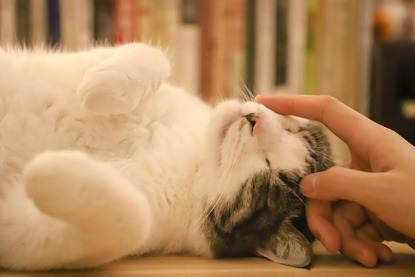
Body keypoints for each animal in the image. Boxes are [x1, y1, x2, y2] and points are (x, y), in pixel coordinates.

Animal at [0, 43, 334, 270]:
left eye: (271, 174)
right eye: (292, 130)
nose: (255, 120)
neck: (189, 153)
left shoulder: (29, 236)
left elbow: (133, 219)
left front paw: (48, 168)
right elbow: (151, 55)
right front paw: (98, 89)